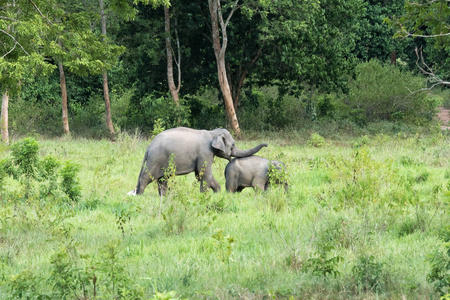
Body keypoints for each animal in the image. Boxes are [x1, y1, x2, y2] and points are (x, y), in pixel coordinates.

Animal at [134, 127, 268, 196]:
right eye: (233, 145)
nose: (266, 144)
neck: (212, 132)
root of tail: (149, 147)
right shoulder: (205, 152)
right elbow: (205, 174)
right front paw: (205, 195)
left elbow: (200, 174)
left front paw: (217, 192)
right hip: (155, 159)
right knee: (146, 177)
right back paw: (140, 195)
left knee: (163, 180)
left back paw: (164, 196)